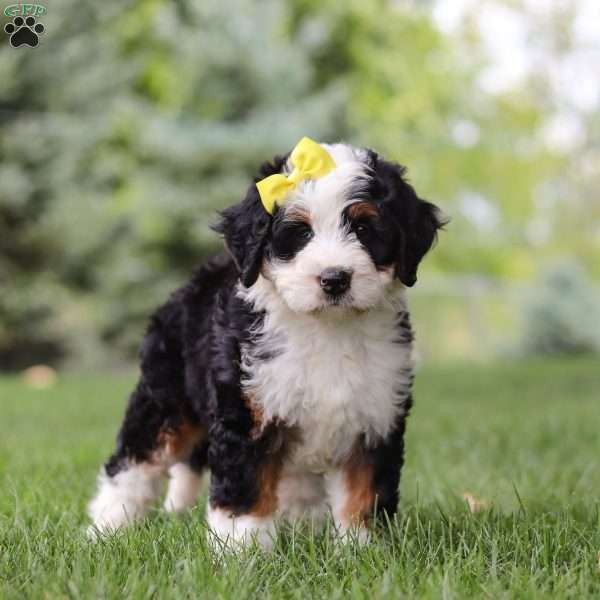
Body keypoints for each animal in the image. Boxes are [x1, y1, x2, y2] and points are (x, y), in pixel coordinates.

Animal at [89, 136, 446, 548]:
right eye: (301, 232)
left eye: (364, 228)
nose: (334, 279)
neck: (326, 328)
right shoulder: (247, 412)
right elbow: (247, 488)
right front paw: (241, 549)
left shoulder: (376, 416)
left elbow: (364, 493)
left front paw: (362, 549)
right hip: (166, 396)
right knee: (134, 460)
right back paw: (108, 524)